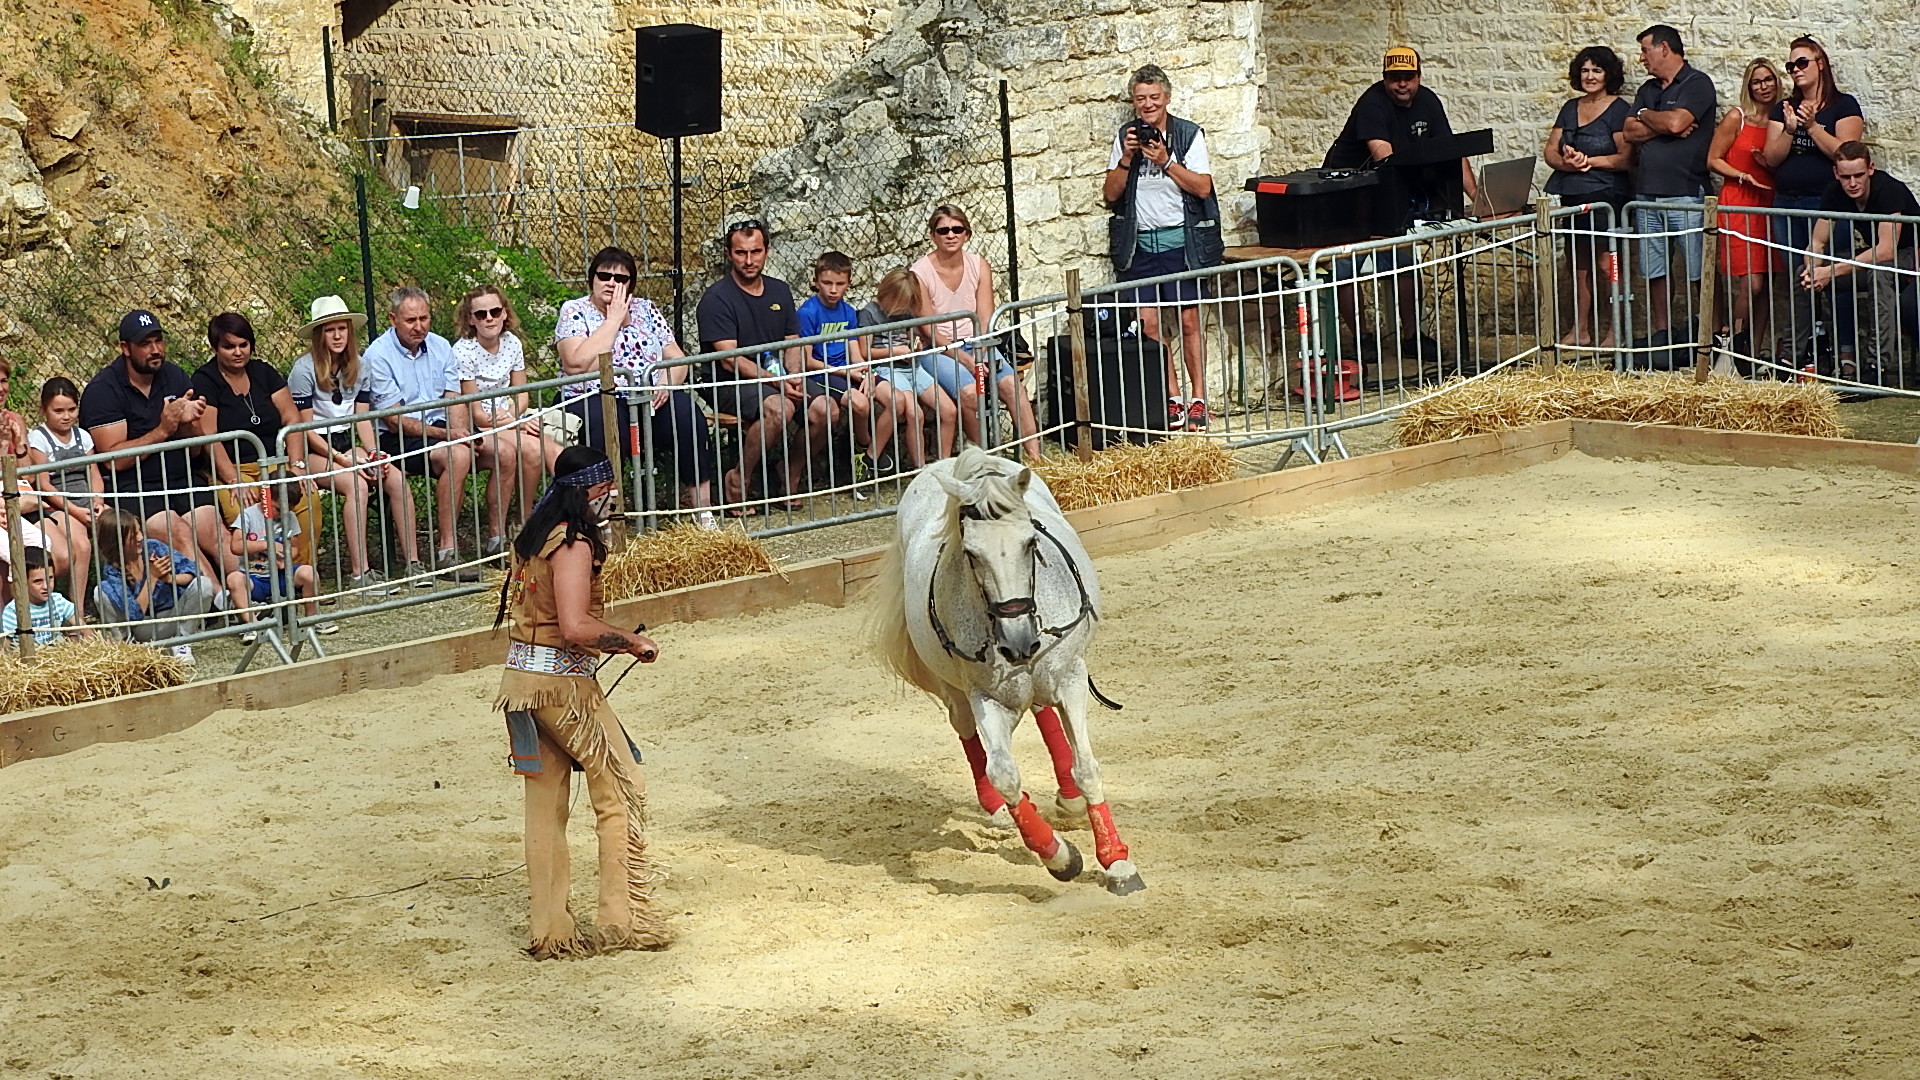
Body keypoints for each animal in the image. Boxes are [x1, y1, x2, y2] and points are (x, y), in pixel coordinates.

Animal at [869, 447, 1145, 896]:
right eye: (971, 554)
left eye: (1031, 542)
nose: (1018, 642)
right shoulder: (986, 697)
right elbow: (1003, 774)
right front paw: (1059, 857)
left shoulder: (1070, 677)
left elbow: (1087, 768)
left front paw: (1116, 861)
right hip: (957, 691)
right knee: (969, 732)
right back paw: (998, 808)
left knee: (1043, 712)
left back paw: (1068, 797)